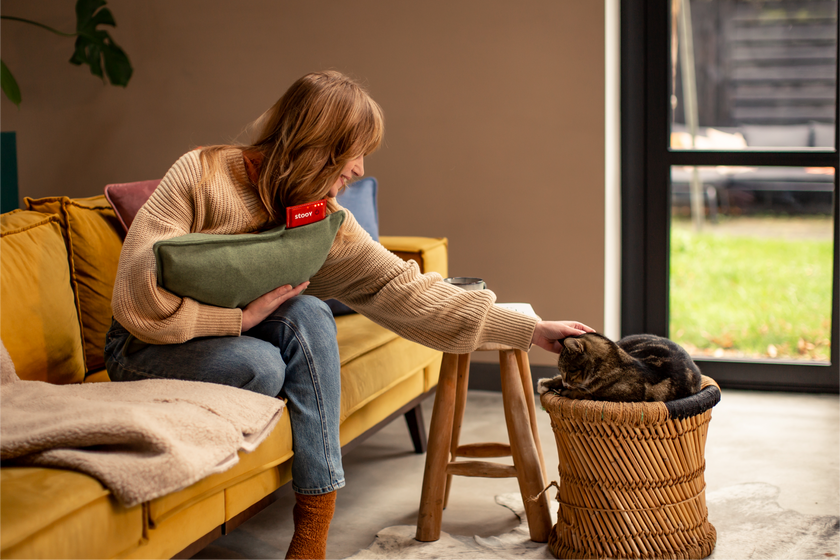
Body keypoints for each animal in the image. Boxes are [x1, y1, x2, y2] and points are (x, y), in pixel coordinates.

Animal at [540, 332, 704, 402]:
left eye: (572, 370)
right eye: (562, 370)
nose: (566, 383)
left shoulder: (621, 396)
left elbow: (589, 394)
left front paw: (567, 391)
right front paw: (547, 383)